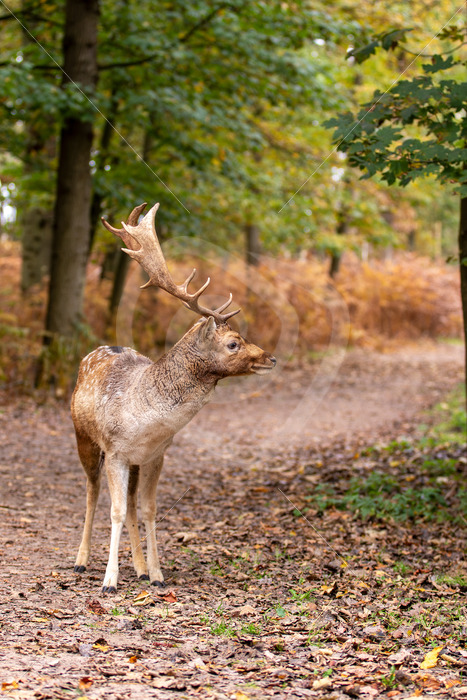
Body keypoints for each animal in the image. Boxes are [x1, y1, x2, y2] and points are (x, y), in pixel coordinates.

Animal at [71, 202, 276, 593]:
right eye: (233, 343)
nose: (271, 357)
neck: (146, 421)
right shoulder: (116, 451)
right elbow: (114, 510)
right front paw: (109, 581)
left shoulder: (156, 455)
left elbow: (147, 509)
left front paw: (156, 574)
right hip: (83, 437)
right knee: (91, 490)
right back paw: (80, 560)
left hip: (133, 462)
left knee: (131, 503)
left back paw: (137, 567)